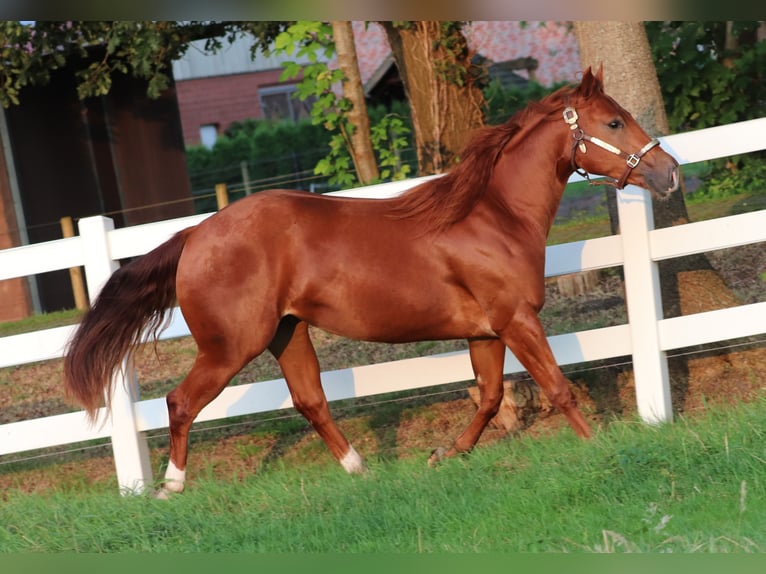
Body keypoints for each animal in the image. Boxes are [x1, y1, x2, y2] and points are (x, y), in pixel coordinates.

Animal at [64, 67, 679, 496]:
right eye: (614, 122)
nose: (668, 172)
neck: (494, 215)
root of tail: (196, 234)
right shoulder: (516, 319)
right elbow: (557, 386)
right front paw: (598, 447)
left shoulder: (485, 331)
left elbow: (489, 397)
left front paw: (443, 455)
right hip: (232, 344)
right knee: (181, 401)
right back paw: (170, 486)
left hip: (288, 332)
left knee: (310, 401)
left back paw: (359, 468)